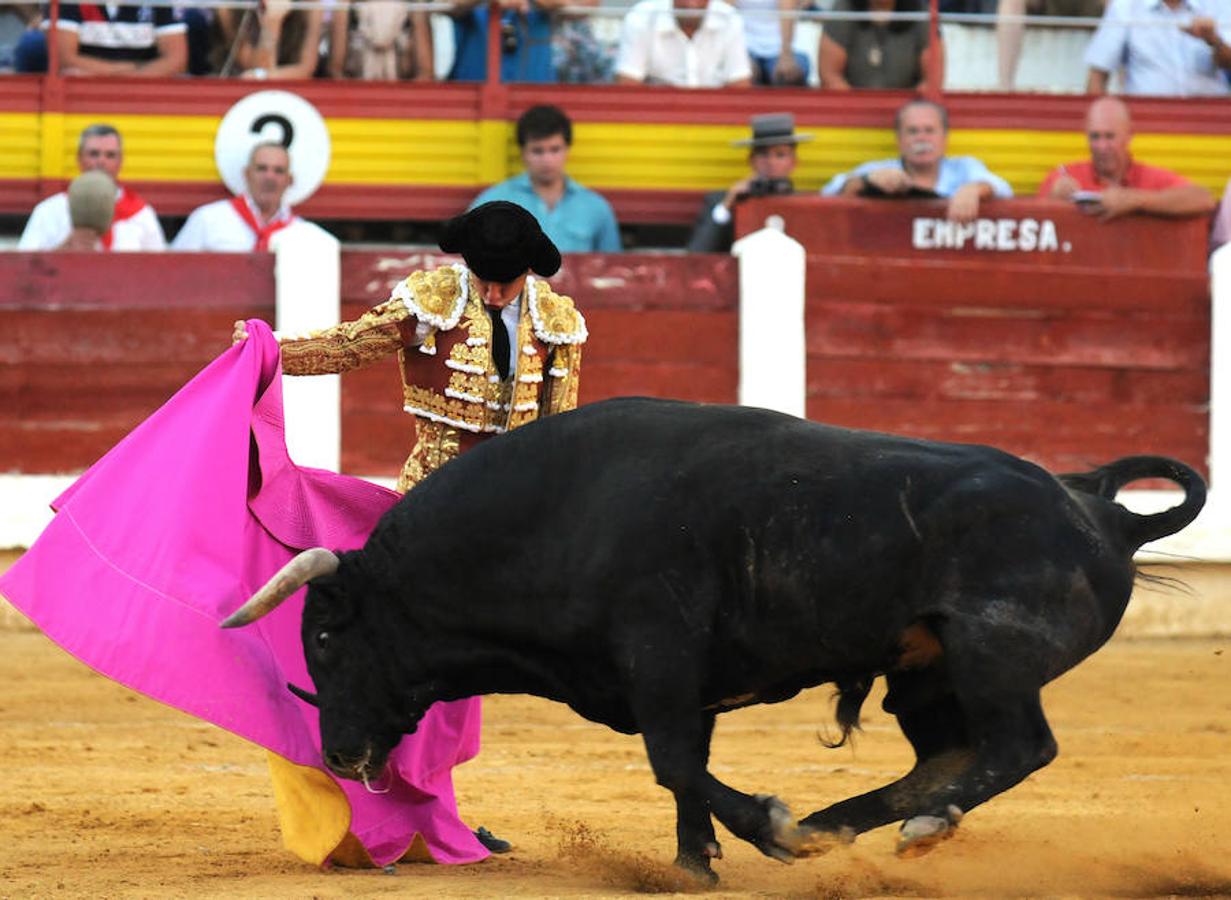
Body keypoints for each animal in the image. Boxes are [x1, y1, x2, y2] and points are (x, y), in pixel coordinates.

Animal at [219, 398, 1201, 881]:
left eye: (326, 637)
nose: (339, 756)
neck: (555, 513)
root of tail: (1102, 513)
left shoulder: (659, 657)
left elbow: (673, 762)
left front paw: (768, 830)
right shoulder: (681, 683)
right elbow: (685, 768)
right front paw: (699, 862)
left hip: (990, 651)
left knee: (1017, 746)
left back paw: (873, 828)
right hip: (925, 672)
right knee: (949, 755)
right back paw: (851, 824)